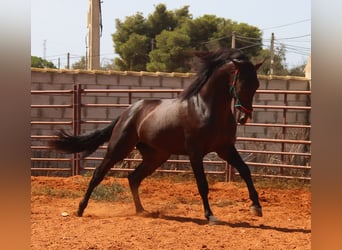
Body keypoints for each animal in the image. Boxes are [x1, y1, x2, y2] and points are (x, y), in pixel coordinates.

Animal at [49, 47, 264, 224]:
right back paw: (80, 209)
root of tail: (129, 111)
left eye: (256, 84)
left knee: (133, 178)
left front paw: (256, 207)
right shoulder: (195, 153)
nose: (244, 117)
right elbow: (202, 184)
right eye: (243, 83)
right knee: (98, 175)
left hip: (156, 156)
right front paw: (210, 216)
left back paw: (141, 211)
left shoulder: (225, 148)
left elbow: (245, 170)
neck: (205, 109)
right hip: (118, 149)